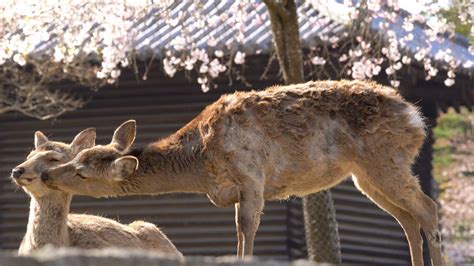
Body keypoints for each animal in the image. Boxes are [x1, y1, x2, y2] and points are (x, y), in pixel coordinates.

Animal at [42, 79, 442, 266]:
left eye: (82, 173)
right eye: (74, 160)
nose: (47, 175)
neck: (200, 163)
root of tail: (416, 119)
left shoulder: (252, 177)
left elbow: (247, 230)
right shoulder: (234, 190)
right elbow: (238, 231)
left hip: (385, 158)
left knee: (427, 208)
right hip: (365, 174)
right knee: (408, 217)